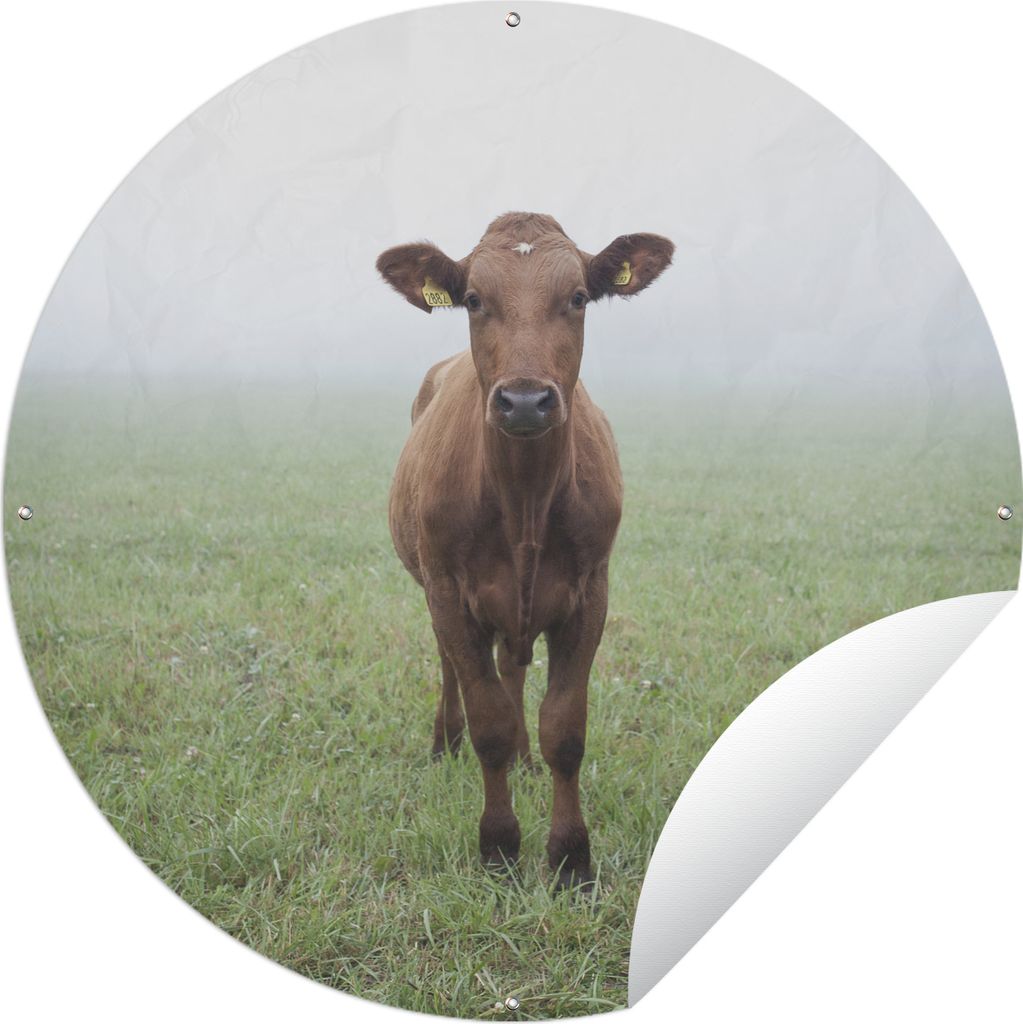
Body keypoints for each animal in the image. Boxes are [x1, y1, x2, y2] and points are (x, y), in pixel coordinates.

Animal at [377, 213, 674, 890]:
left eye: (579, 297)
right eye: (473, 299)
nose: (524, 400)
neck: (524, 502)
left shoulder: (590, 592)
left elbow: (563, 729)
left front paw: (569, 858)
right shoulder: (449, 592)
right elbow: (488, 721)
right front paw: (499, 848)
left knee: (512, 672)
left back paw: (525, 761)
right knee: (454, 671)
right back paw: (446, 745)